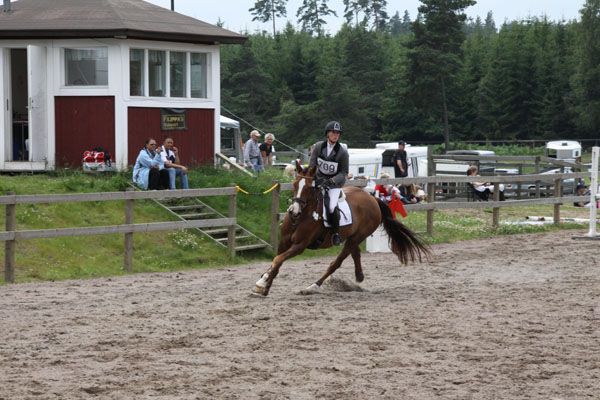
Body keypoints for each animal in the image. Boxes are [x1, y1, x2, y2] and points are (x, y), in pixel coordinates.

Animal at [251, 161, 428, 296]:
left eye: (310, 188)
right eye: (295, 184)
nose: (293, 212)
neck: (302, 217)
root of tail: (372, 199)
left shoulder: (299, 246)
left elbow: (277, 260)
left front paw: (263, 284)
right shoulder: (284, 242)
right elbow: (276, 262)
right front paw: (264, 284)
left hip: (357, 236)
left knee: (337, 262)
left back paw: (313, 286)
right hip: (353, 237)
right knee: (355, 252)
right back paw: (359, 277)